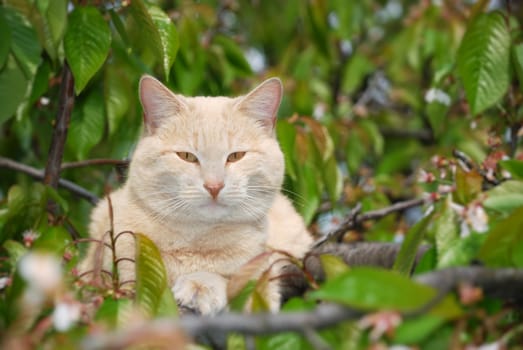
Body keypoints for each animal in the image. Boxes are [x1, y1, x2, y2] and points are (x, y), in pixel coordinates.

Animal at [80, 74, 314, 314]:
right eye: (187, 156)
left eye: (236, 156)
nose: (214, 186)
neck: (196, 243)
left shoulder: (262, 290)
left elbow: (229, 280)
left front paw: (200, 285)